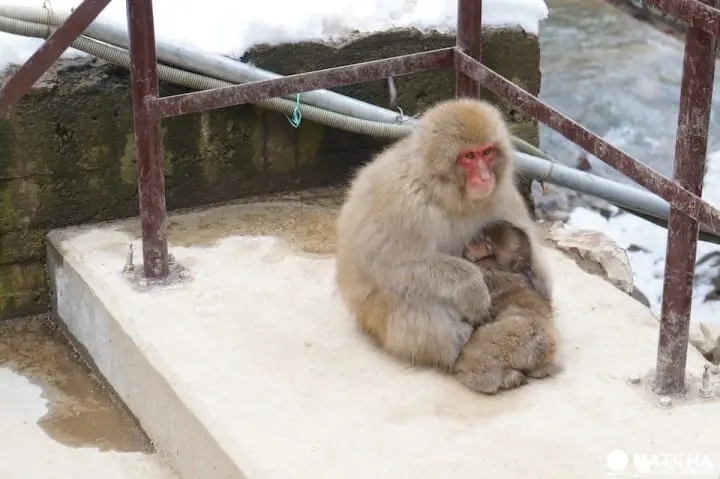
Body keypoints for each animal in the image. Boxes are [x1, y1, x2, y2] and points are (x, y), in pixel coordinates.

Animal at [335, 97, 553, 372]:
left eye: (487, 152)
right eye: (468, 156)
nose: (485, 176)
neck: (446, 195)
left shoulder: (503, 194)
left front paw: (528, 270)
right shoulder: (404, 204)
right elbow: (390, 264)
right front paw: (472, 285)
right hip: (378, 319)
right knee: (413, 295)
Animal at [452, 221, 559, 394]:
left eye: (488, 245)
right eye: (482, 240)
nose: (471, 246)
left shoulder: (488, 269)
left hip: (498, 342)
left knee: (478, 371)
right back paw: (514, 377)